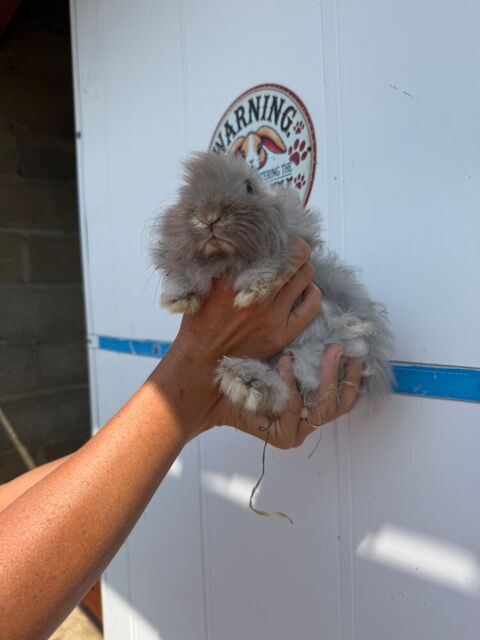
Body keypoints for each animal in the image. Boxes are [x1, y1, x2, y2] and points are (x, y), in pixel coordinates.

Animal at [151, 151, 393, 420]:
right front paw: (177, 298)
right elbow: (187, 271)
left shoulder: (289, 247)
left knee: (295, 377)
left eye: (249, 187)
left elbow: (268, 262)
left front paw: (251, 290)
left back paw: (245, 380)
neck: (225, 258)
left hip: (334, 340)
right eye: (185, 190)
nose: (209, 216)